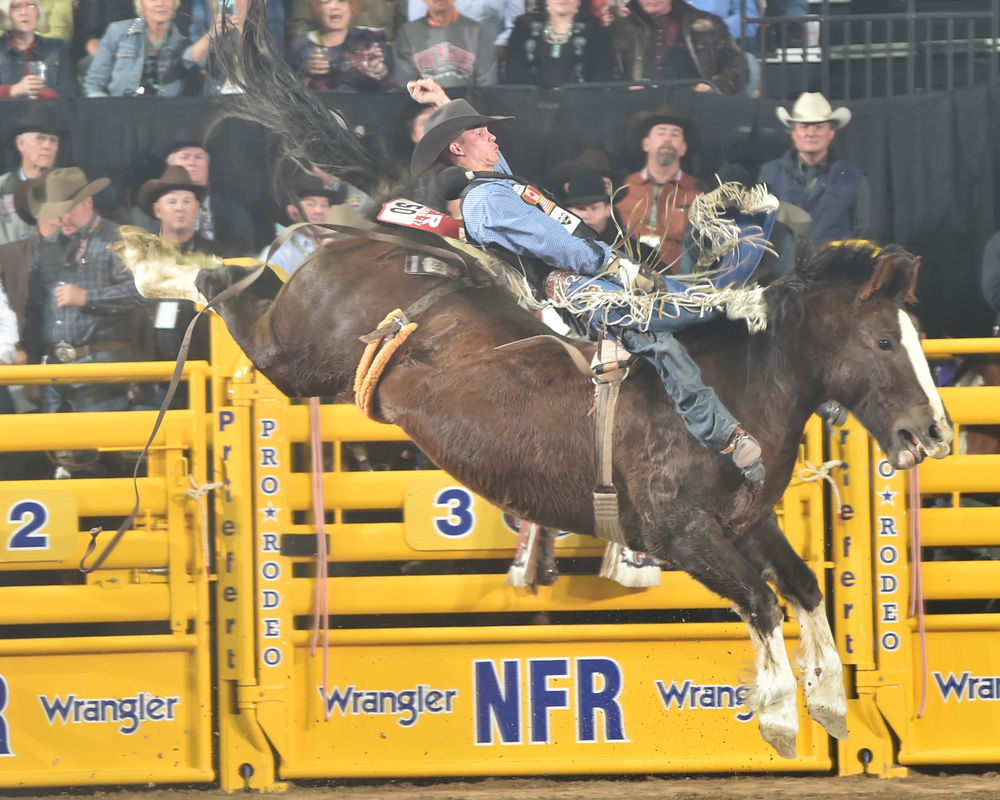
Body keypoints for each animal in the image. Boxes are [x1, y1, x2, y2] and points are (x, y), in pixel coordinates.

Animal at [119, 0, 954, 759]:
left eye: (915, 336)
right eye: (884, 340)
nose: (935, 432)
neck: (742, 389)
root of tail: (385, 228)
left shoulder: (751, 521)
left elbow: (804, 586)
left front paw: (832, 701)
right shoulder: (682, 534)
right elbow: (760, 600)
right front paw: (781, 716)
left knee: (238, 281)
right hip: (292, 352)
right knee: (224, 288)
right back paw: (155, 264)